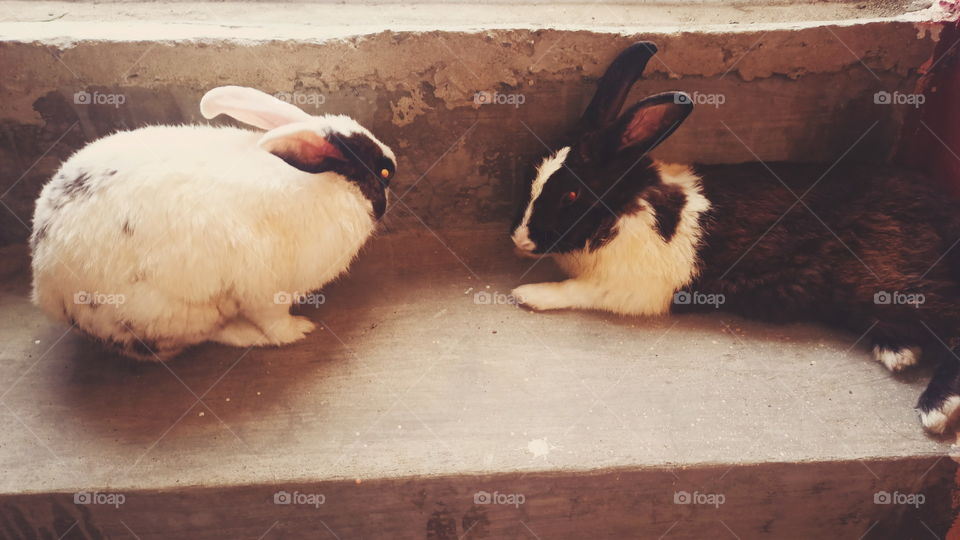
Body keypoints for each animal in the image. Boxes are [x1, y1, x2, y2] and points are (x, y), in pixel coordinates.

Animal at [30, 86, 396, 361]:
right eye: (383, 171)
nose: (393, 166)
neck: (330, 182)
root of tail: (45, 284)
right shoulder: (266, 290)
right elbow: (275, 322)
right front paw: (300, 330)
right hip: (178, 312)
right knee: (208, 335)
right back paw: (246, 334)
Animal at [510, 42, 960, 434]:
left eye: (571, 195)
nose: (519, 241)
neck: (620, 206)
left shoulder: (629, 288)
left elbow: (576, 289)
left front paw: (528, 294)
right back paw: (898, 353)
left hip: (893, 282)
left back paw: (935, 407)